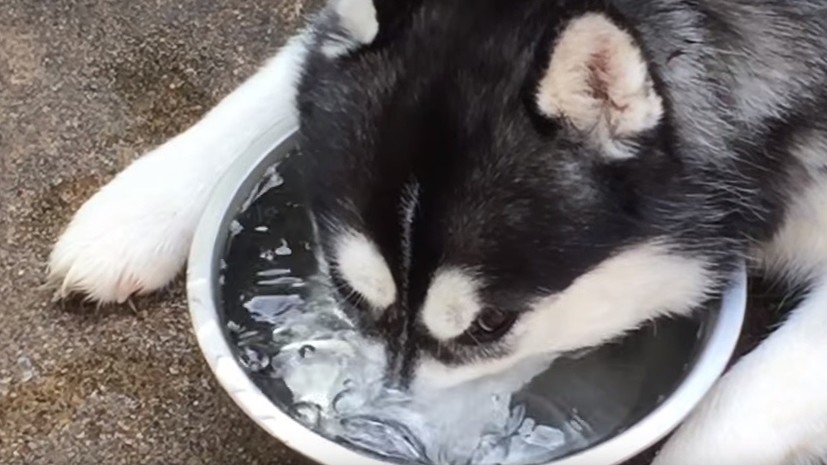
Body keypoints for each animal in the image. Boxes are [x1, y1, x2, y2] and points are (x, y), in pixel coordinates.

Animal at [50, 0, 827, 462]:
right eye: (349, 293)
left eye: (488, 325)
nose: (378, 437)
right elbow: (292, 62)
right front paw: (140, 207)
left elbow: (732, 412)